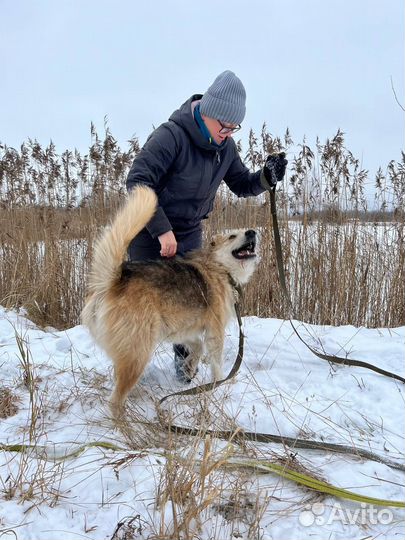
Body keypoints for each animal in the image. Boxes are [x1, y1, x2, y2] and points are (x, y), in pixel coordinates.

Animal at [81, 184, 258, 416]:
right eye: (232, 236)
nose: (252, 232)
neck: (219, 267)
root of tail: (113, 280)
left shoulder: (183, 328)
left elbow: (196, 346)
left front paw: (188, 368)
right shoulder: (215, 330)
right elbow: (216, 362)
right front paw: (219, 385)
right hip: (138, 353)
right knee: (115, 400)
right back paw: (124, 420)